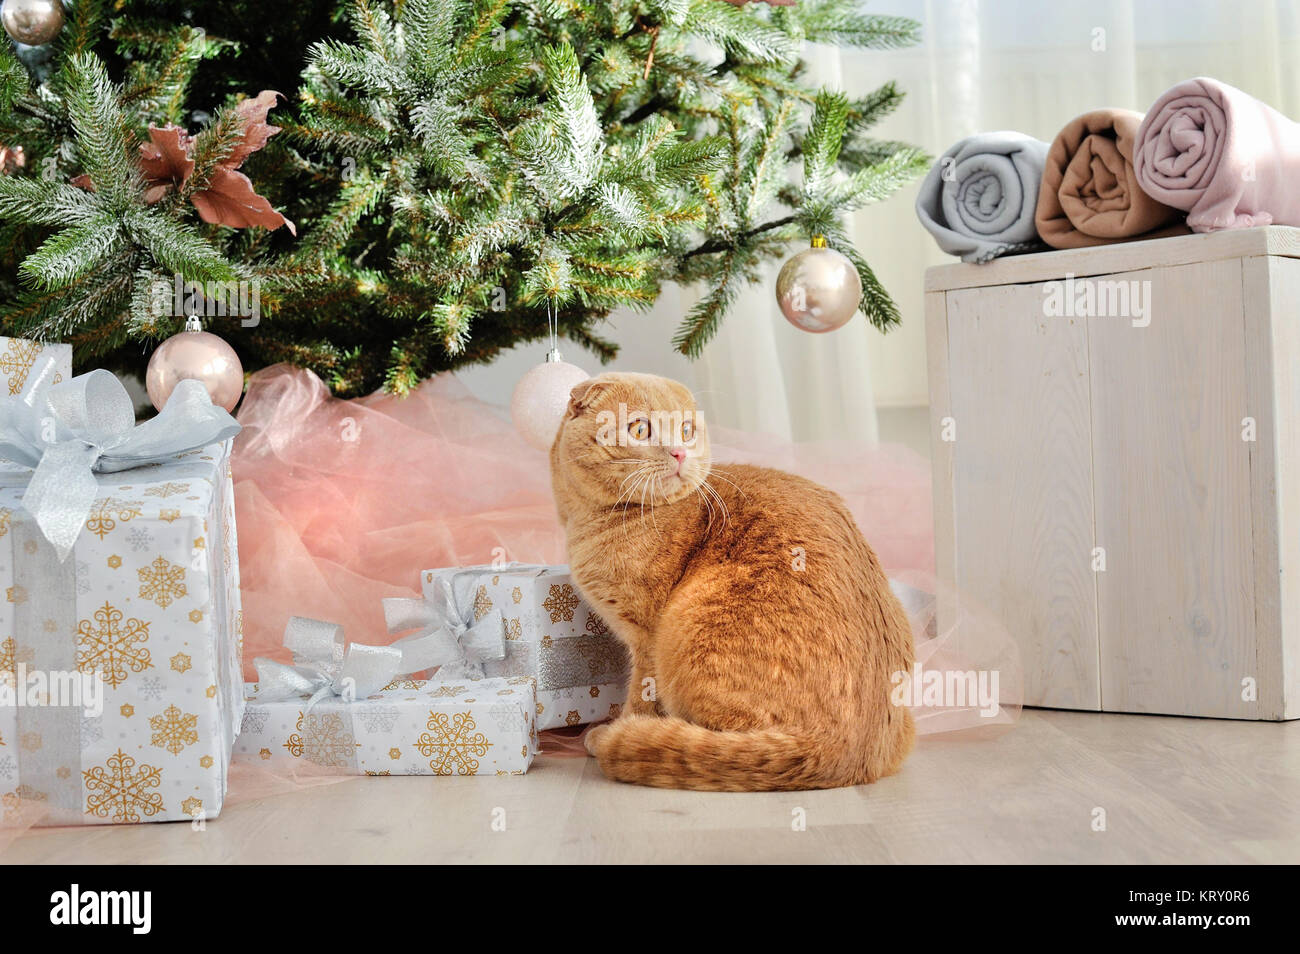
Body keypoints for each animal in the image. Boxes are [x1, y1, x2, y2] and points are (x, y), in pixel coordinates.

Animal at [548, 374, 915, 790]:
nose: (679, 453)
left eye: (686, 430)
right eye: (640, 428)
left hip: (687, 630)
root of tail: (844, 755)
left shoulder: (646, 640)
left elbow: (641, 696)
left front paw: (615, 727)